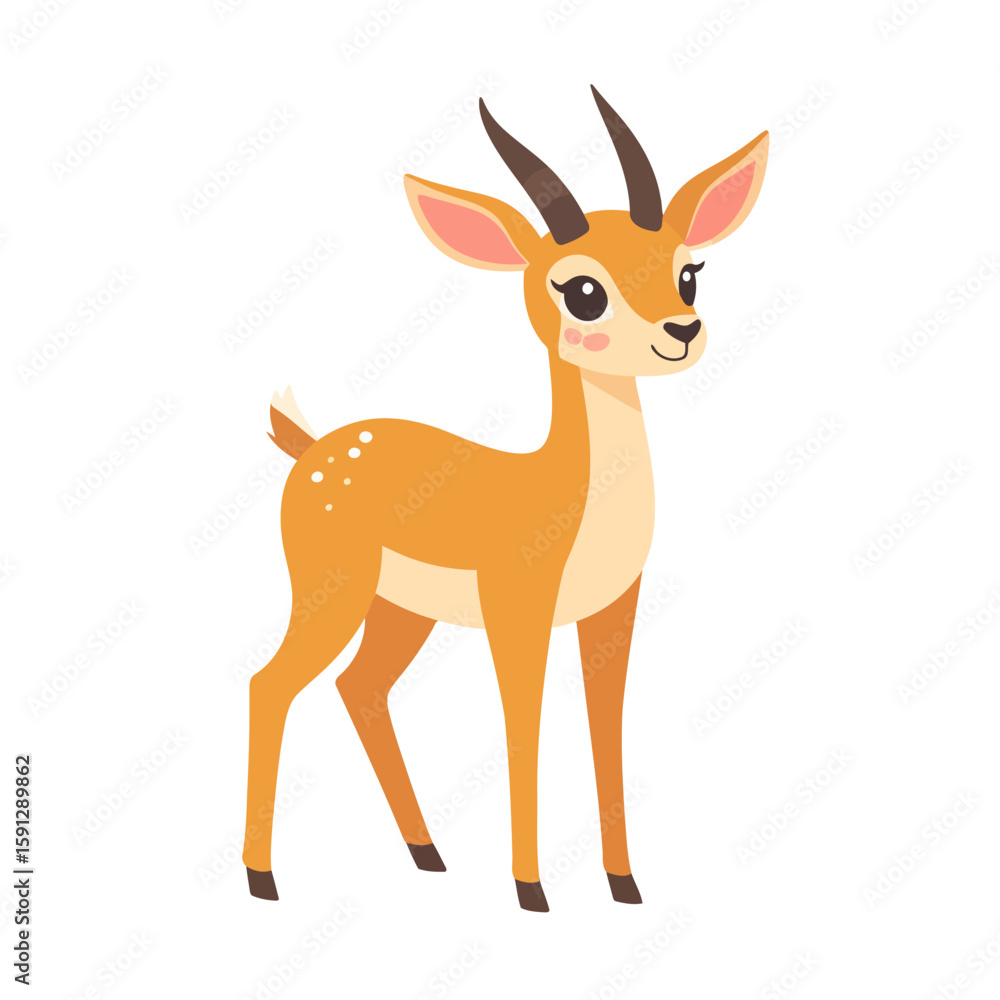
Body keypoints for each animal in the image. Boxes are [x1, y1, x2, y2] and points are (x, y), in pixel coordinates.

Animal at [243, 86, 768, 912]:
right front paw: (532, 889)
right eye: (582, 289)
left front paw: (625, 885)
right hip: (333, 591)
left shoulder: (612, 611)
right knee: (269, 685)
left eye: (689, 273)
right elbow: (526, 726)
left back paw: (428, 854)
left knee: (359, 688)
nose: (681, 331)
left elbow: (606, 728)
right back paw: (263, 879)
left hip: (400, 611)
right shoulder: (516, 609)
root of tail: (313, 445)